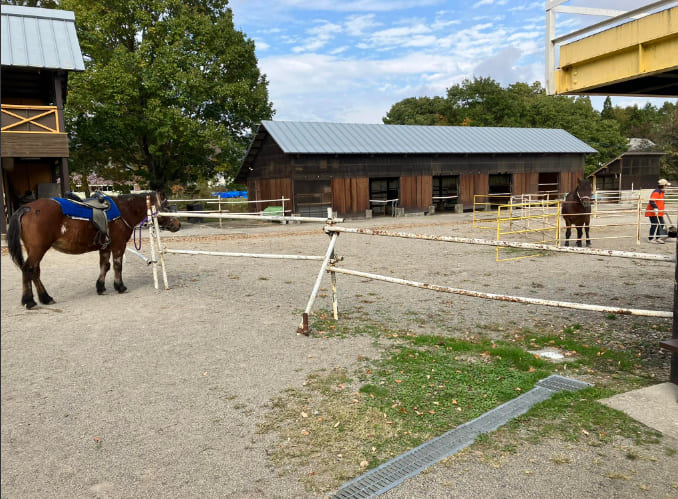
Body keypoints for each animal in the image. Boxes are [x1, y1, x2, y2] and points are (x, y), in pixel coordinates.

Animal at [7, 191, 181, 308]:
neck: (124, 210)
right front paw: (120, 286)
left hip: (34, 249)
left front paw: (101, 287)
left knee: (35, 271)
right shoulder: (119, 245)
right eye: (166, 206)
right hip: (38, 249)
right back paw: (29, 300)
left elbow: (105, 266)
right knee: (28, 269)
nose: (177, 225)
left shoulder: (105, 247)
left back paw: (45, 298)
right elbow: (117, 266)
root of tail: (27, 208)